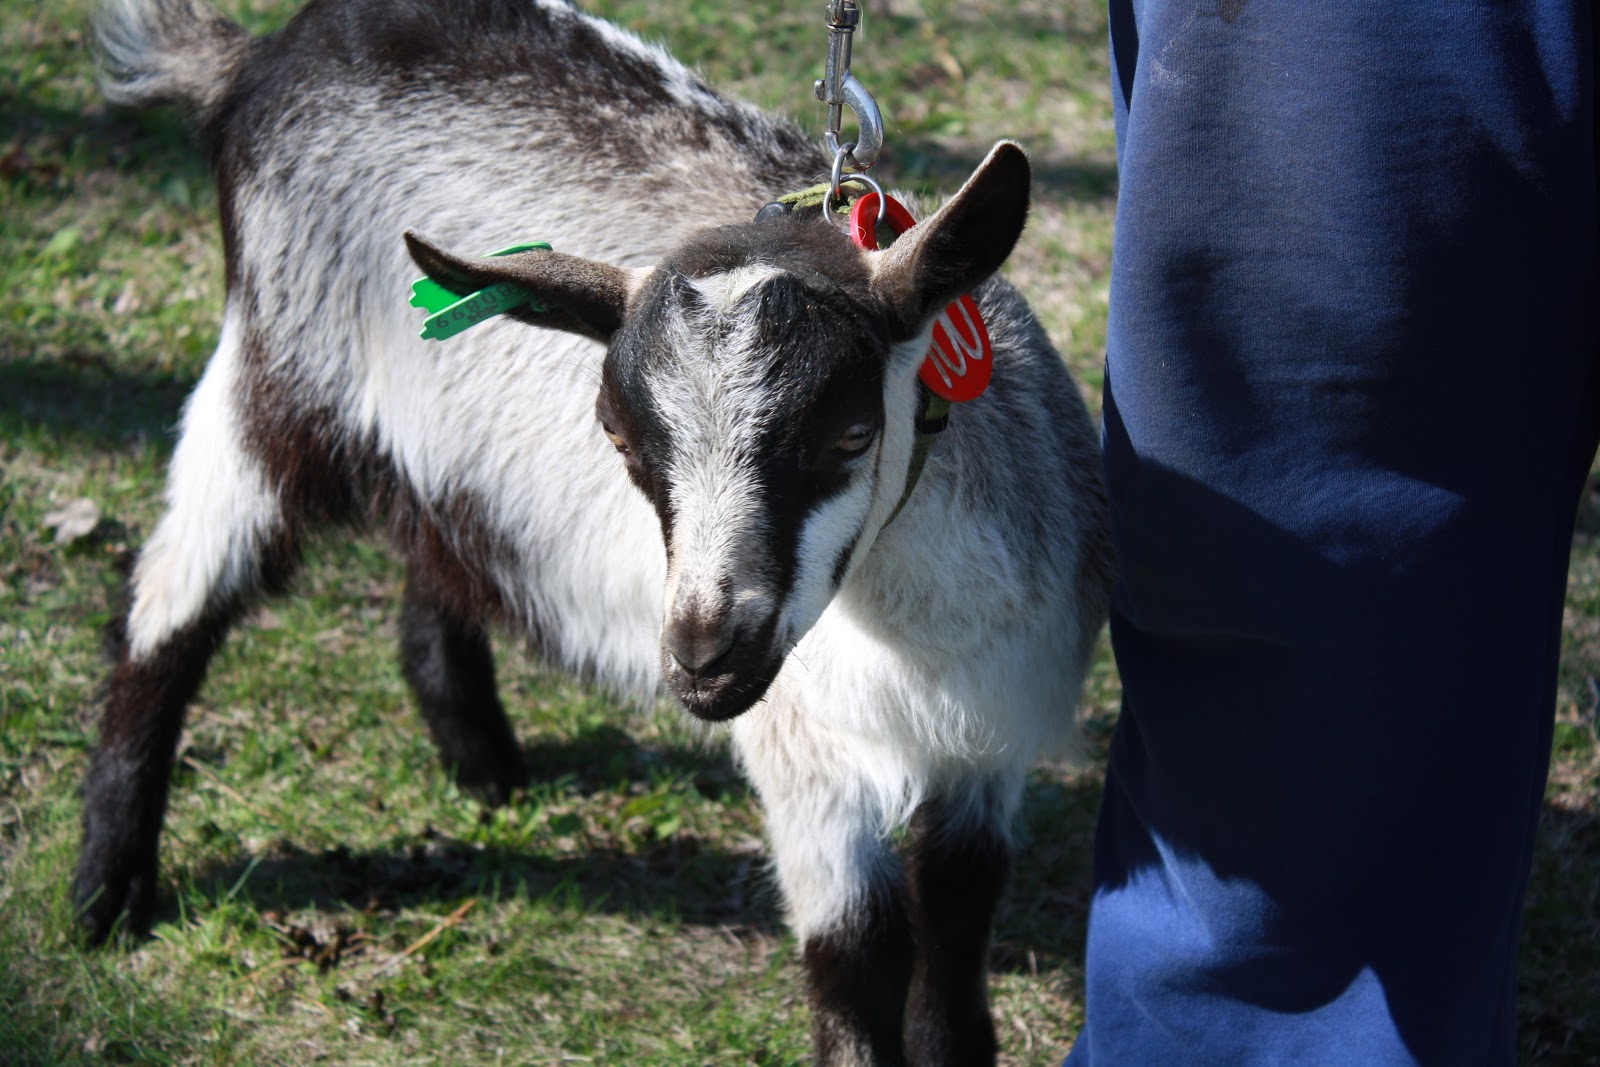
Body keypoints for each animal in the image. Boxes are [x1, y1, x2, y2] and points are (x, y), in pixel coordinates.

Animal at [80, 0, 1111, 1062]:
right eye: (619, 439)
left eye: (851, 435)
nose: (703, 655)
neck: (906, 641)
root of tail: (263, 57)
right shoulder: (808, 762)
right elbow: (856, 961)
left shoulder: (990, 737)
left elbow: (955, 927)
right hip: (275, 370)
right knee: (169, 605)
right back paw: (106, 893)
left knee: (440, 546)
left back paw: (484, 764)